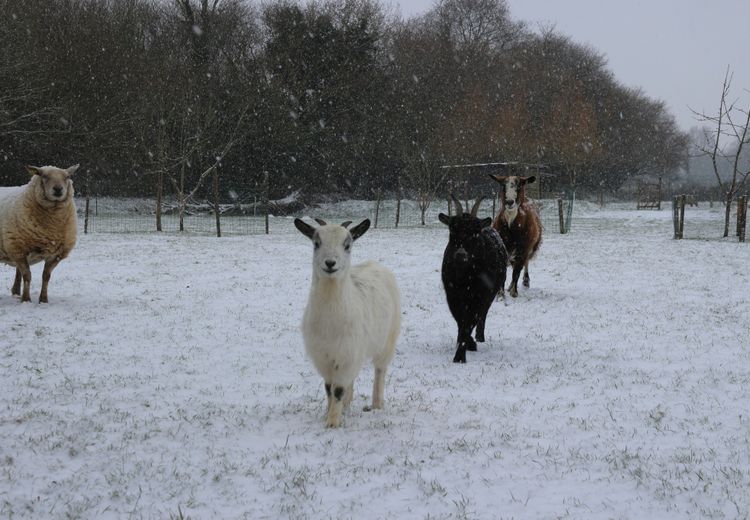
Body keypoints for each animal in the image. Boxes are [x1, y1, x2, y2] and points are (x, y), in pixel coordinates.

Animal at [0, 165, 78, 302]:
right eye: (44, 176)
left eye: (67, 177)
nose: (58, 189)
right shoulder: (18, 249)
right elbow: (27, 276)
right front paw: (26, 299)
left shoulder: (55, 254)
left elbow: (46, 276)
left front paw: (43, 299)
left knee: (18, 271)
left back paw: (16, 292)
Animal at [294, 217, 400, 428]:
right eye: (316, 243)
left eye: (347, 245)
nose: (330, 263)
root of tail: (374, 264)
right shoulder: (324, 356)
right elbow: (329, 388)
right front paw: (329, 414)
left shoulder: (346, 355)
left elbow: (338, 389)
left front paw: (333, 423)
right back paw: (348, 405)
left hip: (387, 340)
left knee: (380, 370)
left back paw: (376, 405)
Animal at [438, 195, 508, 362]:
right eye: (452, 229)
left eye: (475, 231)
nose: (460, 255)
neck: (465, 277)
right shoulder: (452, 295)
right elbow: (459, 319)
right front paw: (464, 344)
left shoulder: (480, 295)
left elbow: (471, 320)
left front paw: (460, 355)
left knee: (482, 315)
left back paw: (479, 337)